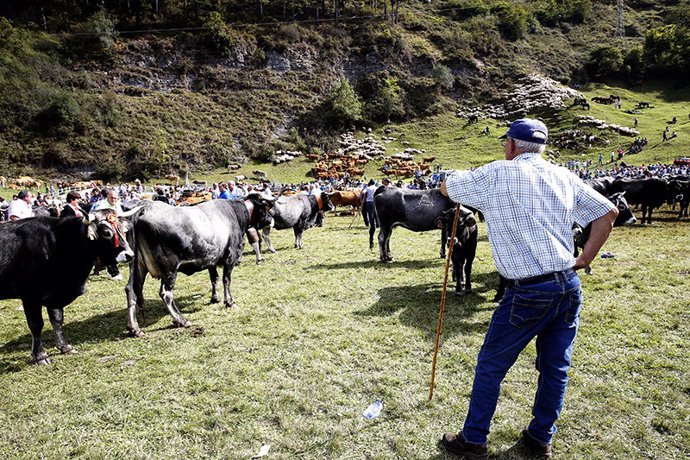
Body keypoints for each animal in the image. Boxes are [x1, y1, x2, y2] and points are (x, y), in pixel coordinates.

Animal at [0, 210, 137, 364]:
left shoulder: (55, 293)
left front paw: (65, 347)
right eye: (106, 232)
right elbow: (36, 324)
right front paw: (40, 356)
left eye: (122, 229)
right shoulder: (30, 295)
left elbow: (57, 319)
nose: (130, 255)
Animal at [122, 196, 272, 336]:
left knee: (131, 290)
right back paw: (182, 320)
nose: (270, 220)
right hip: (169, 269)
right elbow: (226, 280)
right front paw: (229, 302)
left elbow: (214, 279)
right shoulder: (230, 256)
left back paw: (134, 328)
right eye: (264, 209)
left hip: (137, 265)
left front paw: (215, 298)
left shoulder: (211, 259)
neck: (234, 213)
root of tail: (145, 206)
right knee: (166, 293)